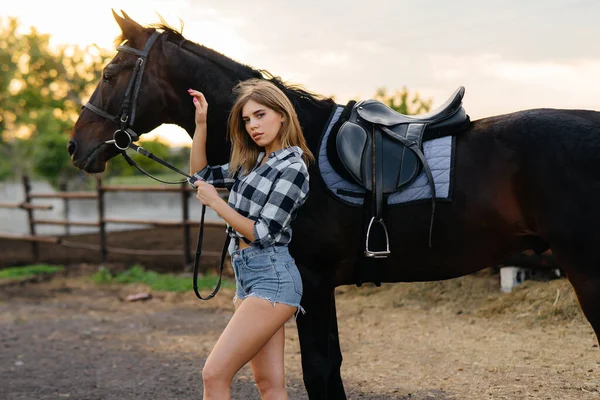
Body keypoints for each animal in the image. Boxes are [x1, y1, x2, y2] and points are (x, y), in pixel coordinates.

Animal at [68, 10, 596, 398]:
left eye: (110, 74)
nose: (77, 146)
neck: (299, 139)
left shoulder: (314, 282)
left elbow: (320, 371)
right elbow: (330, 367)